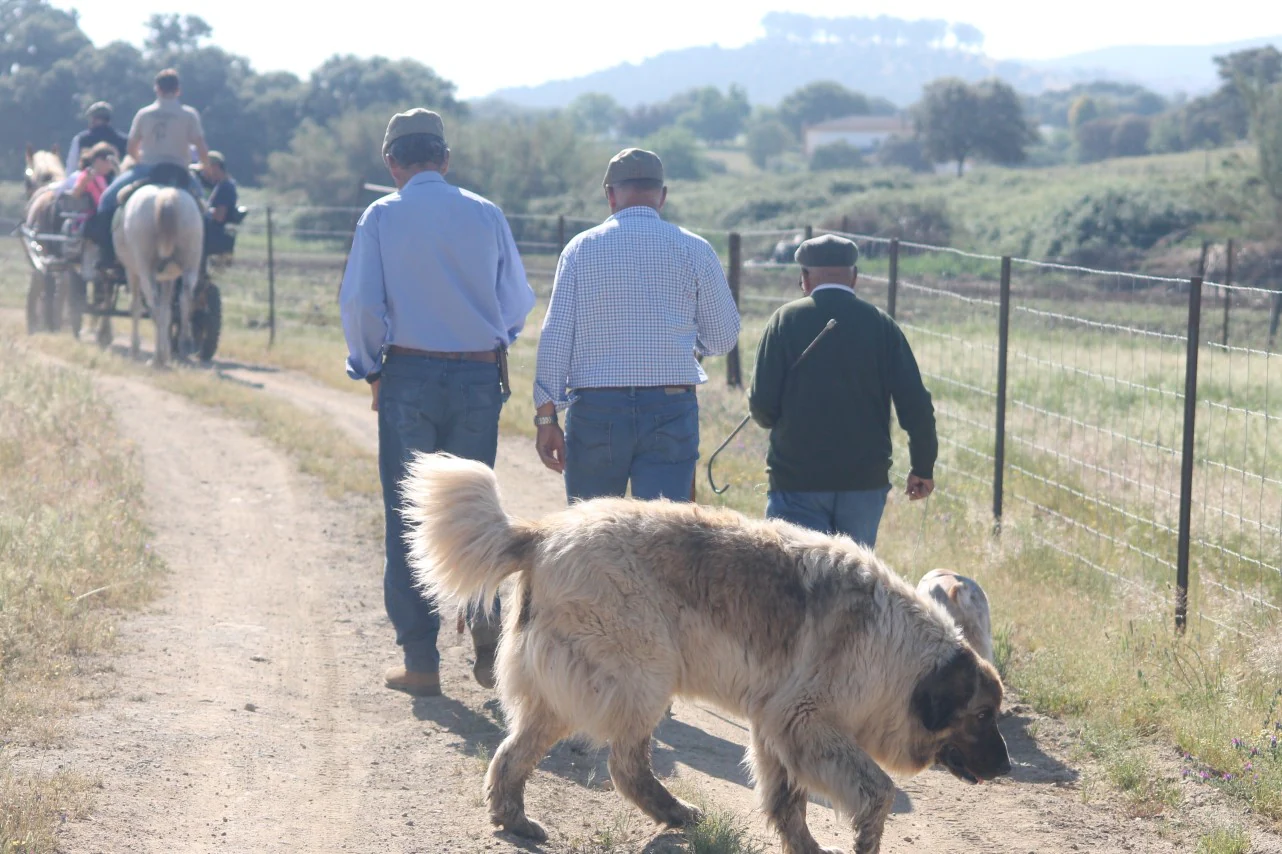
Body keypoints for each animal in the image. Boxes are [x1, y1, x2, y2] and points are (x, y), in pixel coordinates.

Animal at [112, 184, 205, 364]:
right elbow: (167, 311)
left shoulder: (132, 272)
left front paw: (136, 349)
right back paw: (183, 347)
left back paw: (157, 359)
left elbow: (136, 307)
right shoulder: (169, 277)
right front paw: (167, 351)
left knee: (153, 304)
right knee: (185, 300)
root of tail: (166, 197)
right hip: (190, 266)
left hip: (145, 270)